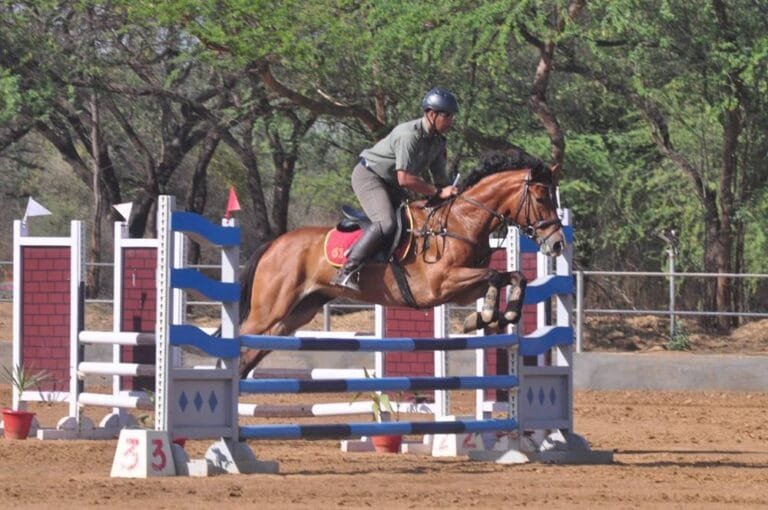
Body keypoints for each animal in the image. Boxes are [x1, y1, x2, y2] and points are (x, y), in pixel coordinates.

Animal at [237, 149, 565, 378]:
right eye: (540, 198)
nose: (557, 243)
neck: (461, 222)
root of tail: (273, 245)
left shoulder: (463, 290)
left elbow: (514, 275)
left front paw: (498, 316)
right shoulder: (441, 285)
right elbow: (496, 274)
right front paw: (485, 316)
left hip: (295, 315)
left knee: (251, 351)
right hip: (271, 309)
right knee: (241, 336)